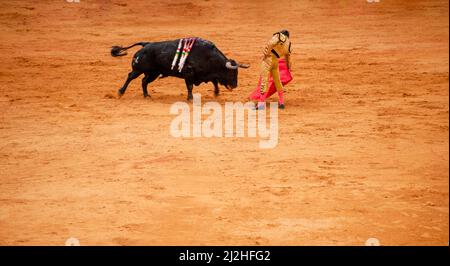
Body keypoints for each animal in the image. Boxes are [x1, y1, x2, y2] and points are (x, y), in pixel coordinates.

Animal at [110, 39, 250, 101]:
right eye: (231, 72)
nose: (235, 85)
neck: (209, 56)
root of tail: (146, 44)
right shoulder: (189, 74)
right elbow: (190, 87)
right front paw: (190, 98)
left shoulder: (207, 75)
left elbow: (214, 82)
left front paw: (216, 93)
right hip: (138, 69)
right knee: (130, 76)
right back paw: (120, 92)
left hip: (153, 73)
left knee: (144, 81)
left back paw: (146, 95)